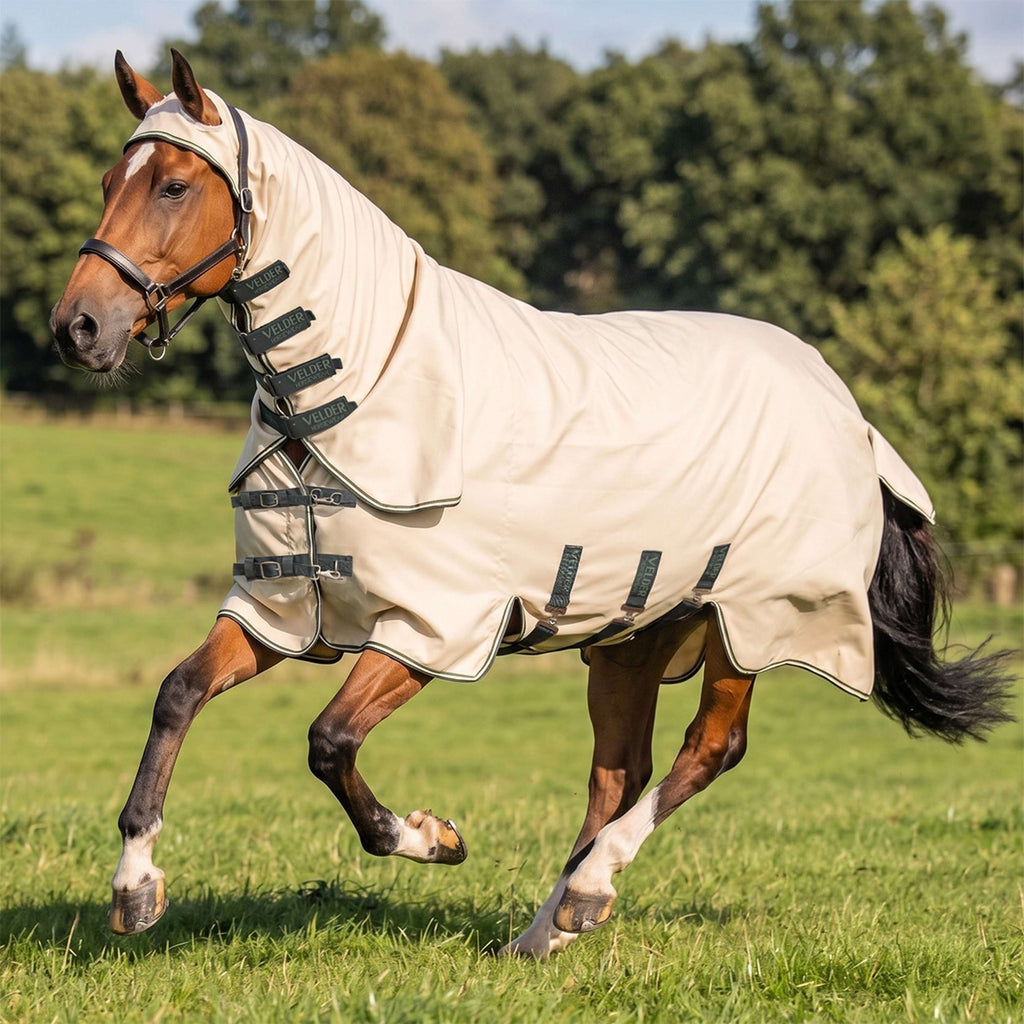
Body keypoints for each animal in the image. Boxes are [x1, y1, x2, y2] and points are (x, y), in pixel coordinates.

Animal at [49, 50, 1012, 959]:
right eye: (107, 182)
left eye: (174, 186)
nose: (78, 327)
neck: (354, 389)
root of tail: (848, 410)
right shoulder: (282, 606)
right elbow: (177, 694)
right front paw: (136, 888)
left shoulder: (429, 625)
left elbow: (330, 742)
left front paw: (433, 837)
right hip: (635, 634)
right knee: (619, 771)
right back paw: (549, 928)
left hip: (750, 620)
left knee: (709, 749)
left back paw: (588, 891)